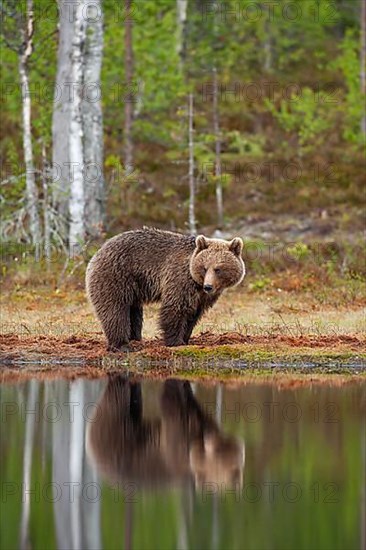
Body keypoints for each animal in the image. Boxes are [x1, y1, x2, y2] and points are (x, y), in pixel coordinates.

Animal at [86, 227, 244, 350]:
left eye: (218, 269)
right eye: (204, 268)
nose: (208, 286)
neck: (197, 283)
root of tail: (97, 253)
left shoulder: (203, 296)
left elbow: (194, 314)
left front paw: (186, 338)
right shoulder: (180, 279)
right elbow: (176, 307)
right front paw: (176, 341)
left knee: (134, 311)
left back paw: (135, 338)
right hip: (116, 275)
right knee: (115, 309)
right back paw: (122, 345)